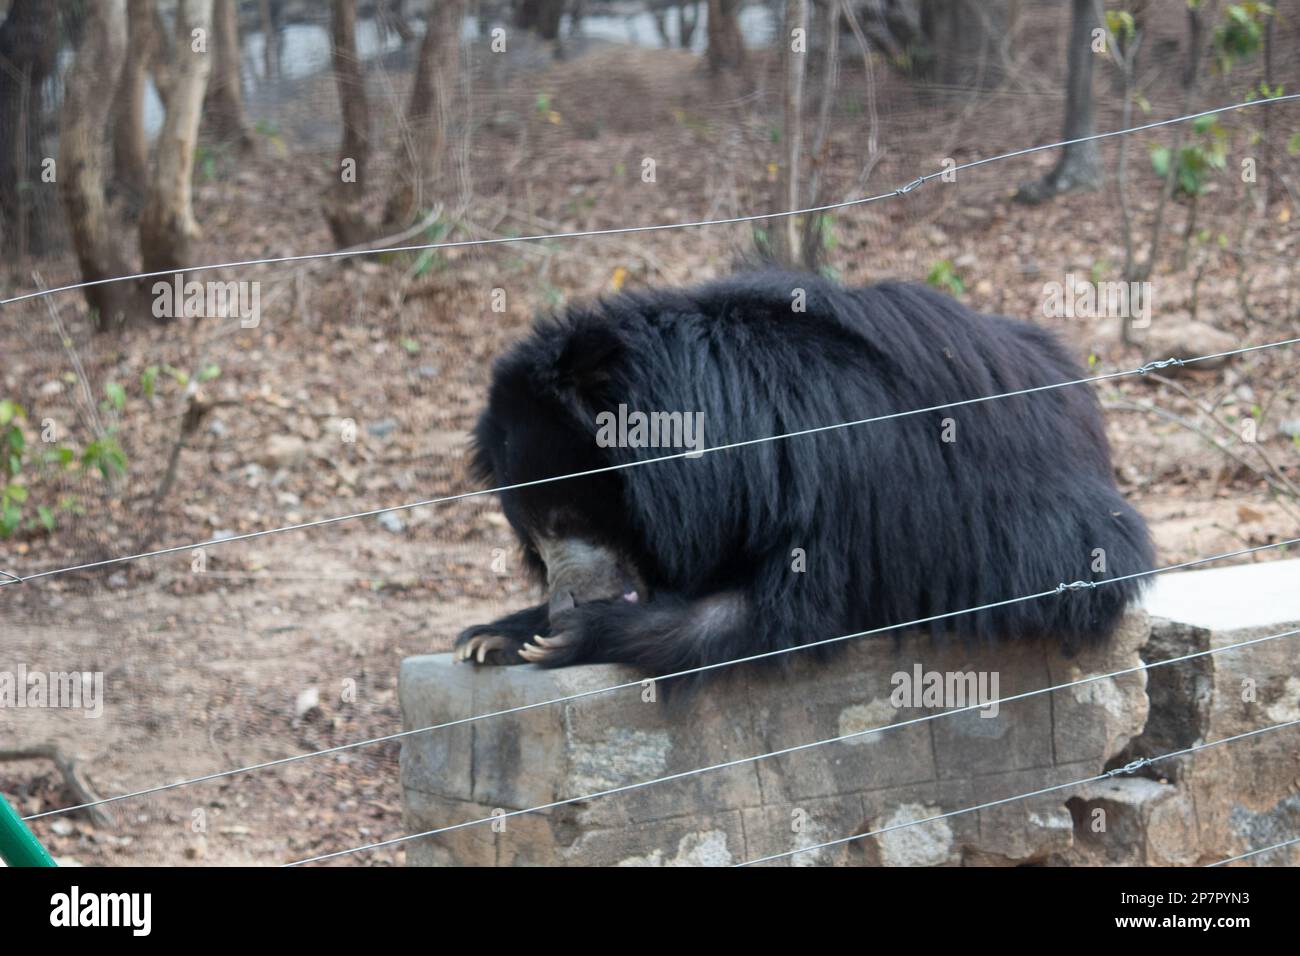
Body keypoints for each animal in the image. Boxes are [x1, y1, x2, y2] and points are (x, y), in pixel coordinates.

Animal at [454, 269, 1149, 671]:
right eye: (533, 537)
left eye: (568, 515)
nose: (564, 604)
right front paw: (495, 635)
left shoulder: (839, 483)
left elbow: (785, 616)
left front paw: (574, 635)